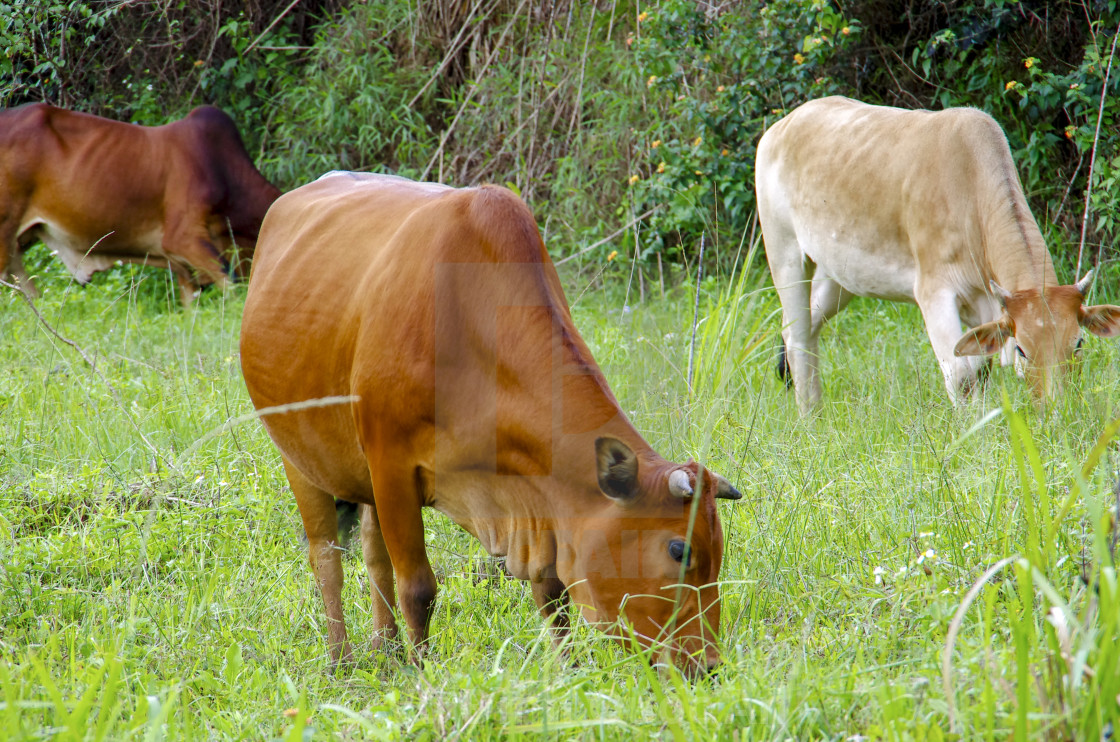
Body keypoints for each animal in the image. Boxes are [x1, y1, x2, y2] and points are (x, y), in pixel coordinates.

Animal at [240, 171, 739, 676]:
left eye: (718, 550)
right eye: (679, 550)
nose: (710, 664)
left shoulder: (539, 502)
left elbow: (552, 592)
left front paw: (568, 669)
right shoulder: (391, 465)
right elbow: (418, 588)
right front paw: (424, 673)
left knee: (373, 554)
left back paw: (385, 647)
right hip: (298, 457)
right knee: (327, 558)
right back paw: (342, 658)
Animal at [752, 95, 1120, 414]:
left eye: (1078, 344)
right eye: (1021, 349)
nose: (1058, 409)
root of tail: (782, 126)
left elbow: (979, 371)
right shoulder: (934, 292)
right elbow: (961, 377)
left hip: (839, 274)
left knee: (804, 329)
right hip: (784, 253)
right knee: (797, 334)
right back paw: (808, 418)